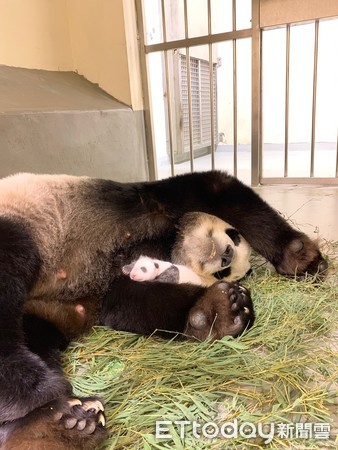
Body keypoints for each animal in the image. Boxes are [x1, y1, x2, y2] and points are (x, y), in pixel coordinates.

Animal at [0, 171, 328, 448]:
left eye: (225, 272)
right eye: (233, 239)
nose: (225, 256)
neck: (170, 238)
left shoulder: (116, 283)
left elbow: (133, 300)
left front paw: (220, 312)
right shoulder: (155, 200)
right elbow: (221, 191)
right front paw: (302, 257)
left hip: (45, 311)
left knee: (36, 334)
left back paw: (61, 425)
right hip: (28, 223)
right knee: (12, 258)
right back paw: (38, 391)